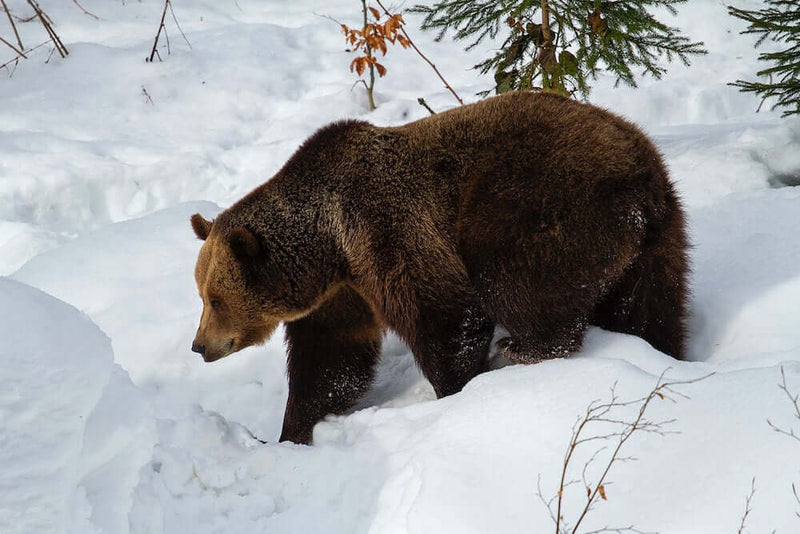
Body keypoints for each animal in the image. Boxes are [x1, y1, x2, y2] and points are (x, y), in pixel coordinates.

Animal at [190, 91, 688, 445]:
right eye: (202, 295)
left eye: (216, 298)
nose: (199, 346)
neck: (330, 246)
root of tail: (640, 179)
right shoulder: (341, 294)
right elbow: (331, 360)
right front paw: (291, 432)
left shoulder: (387, 229)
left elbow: (445, 314)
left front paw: (458, 391)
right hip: (659, 240)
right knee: (650, 310)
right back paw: (662, 352)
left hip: (539, 203)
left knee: (514, 280)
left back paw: (524, 348)